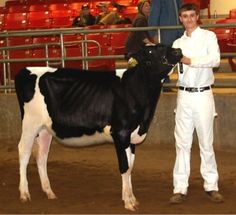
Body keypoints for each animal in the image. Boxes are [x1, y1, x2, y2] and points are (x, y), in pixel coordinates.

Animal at [14, 43, 182, 210]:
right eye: (150, 51)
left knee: (41, 156)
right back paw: (24, 193)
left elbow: (130, 166)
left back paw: (49, 192)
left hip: (44, 129)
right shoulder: (120, 133)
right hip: (30, 123)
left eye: (165, 46)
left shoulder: (132, 136)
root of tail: (26, 69)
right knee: (24, 151)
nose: (178, 50)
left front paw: (132, 198)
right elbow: (124, 166)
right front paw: (128, 202)